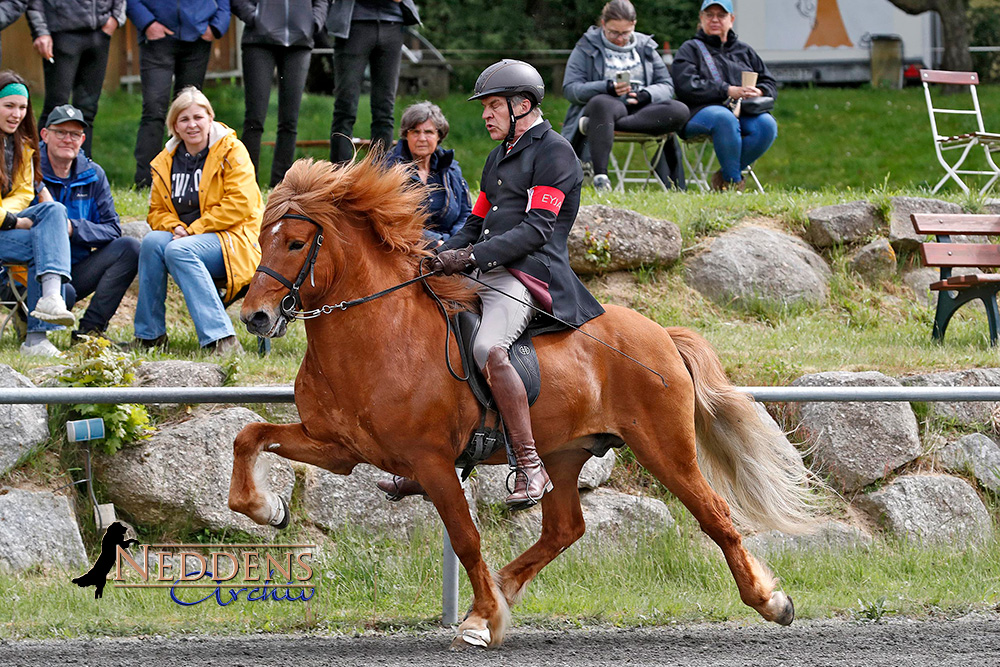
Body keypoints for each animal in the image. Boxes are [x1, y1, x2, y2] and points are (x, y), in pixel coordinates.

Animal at [229, 155, 820, 648]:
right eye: (261, 237)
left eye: (296, 243)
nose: (255, 317)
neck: (378, 332)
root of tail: (660, 335)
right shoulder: (338, 448)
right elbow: (249, 437)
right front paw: (268, 508)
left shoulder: (432, 461)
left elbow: (465, 538)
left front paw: (486, 622)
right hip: (563, 451)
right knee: (564, 528)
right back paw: (501, 589)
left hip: (663, 448)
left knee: (714, 514)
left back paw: (772, 602)